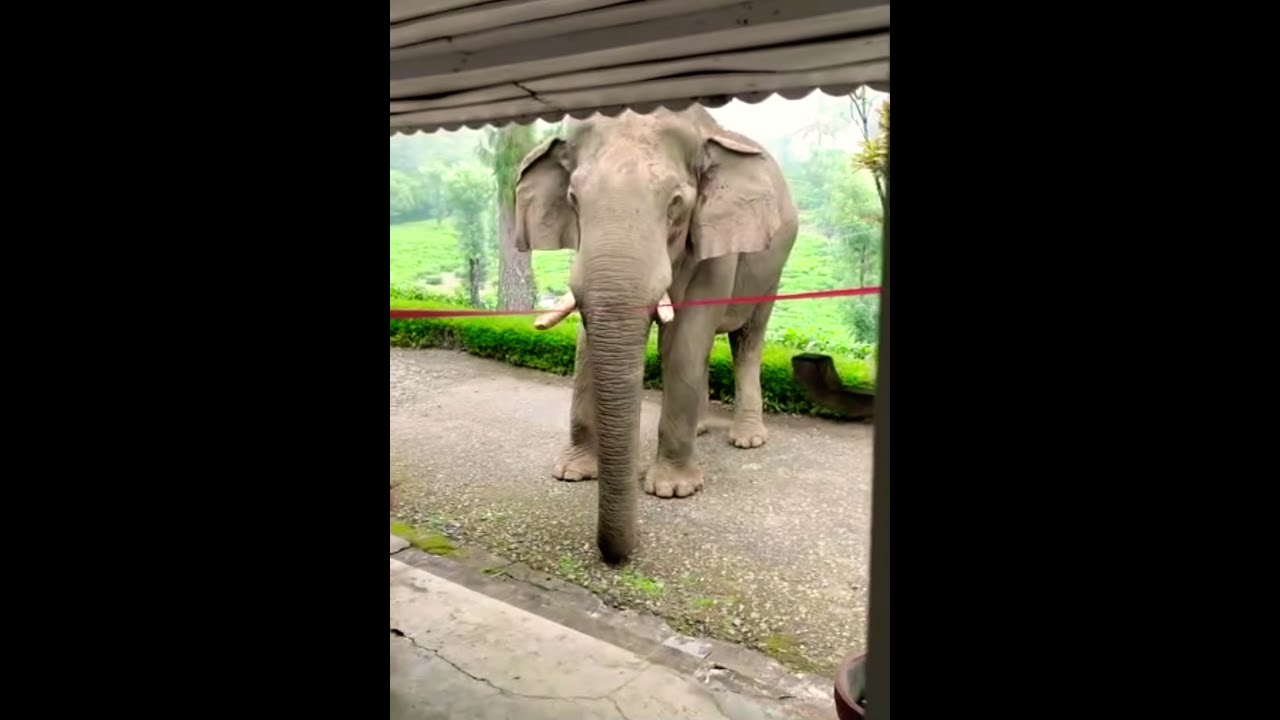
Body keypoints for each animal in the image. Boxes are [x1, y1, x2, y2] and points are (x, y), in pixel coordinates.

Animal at [515, 105, 798, 563]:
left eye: (676, 203)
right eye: (573, 200)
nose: (617, 558)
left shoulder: (715, 238)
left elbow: (686, 338)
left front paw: (672, 490)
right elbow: (587, 344)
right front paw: (573, 473)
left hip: (773, 265)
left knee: (747, 339)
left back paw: (747, 439)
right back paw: (701, 430)